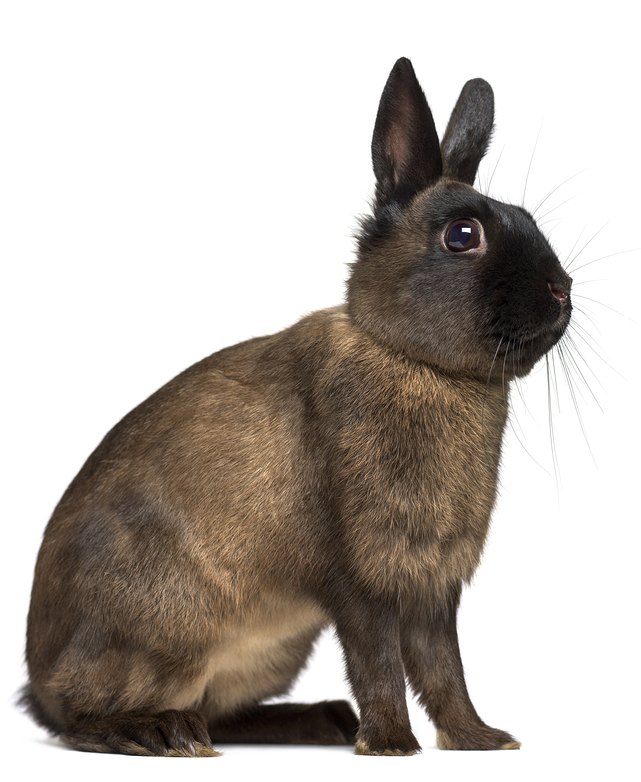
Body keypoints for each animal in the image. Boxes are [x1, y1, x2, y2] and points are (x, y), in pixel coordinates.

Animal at [23, 57, 572, 757]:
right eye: (461, 236)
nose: (562, 290)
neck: (414, 360)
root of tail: (35, 677)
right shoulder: (361, 577)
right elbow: (379, 662)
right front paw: (391, 745)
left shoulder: (431, 587)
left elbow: (443, 668)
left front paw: (483, 740)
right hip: (164, 629)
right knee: (79, 717)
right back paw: (165, 732)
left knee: (217, 710)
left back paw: (320, 720)